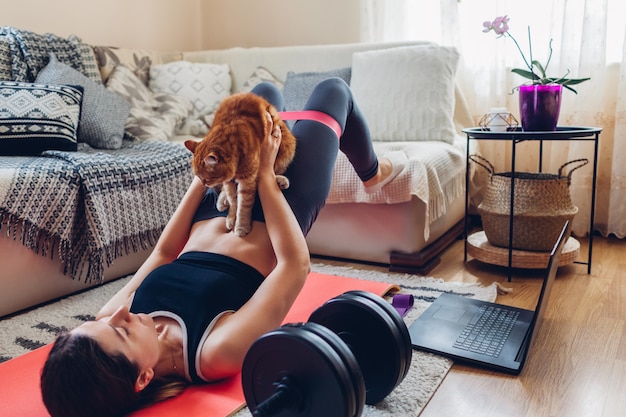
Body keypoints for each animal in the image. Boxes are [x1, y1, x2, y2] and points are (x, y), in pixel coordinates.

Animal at [184, 92, 296, 236]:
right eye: (199, 178)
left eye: (207, 178)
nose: (204, 185)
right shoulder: (228, 181)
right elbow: (233, 200)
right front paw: (232, 217)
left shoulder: (247, 181)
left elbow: (243, 206)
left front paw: (241, 225)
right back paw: (222, 200)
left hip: (286, 152)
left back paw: (280, 180)